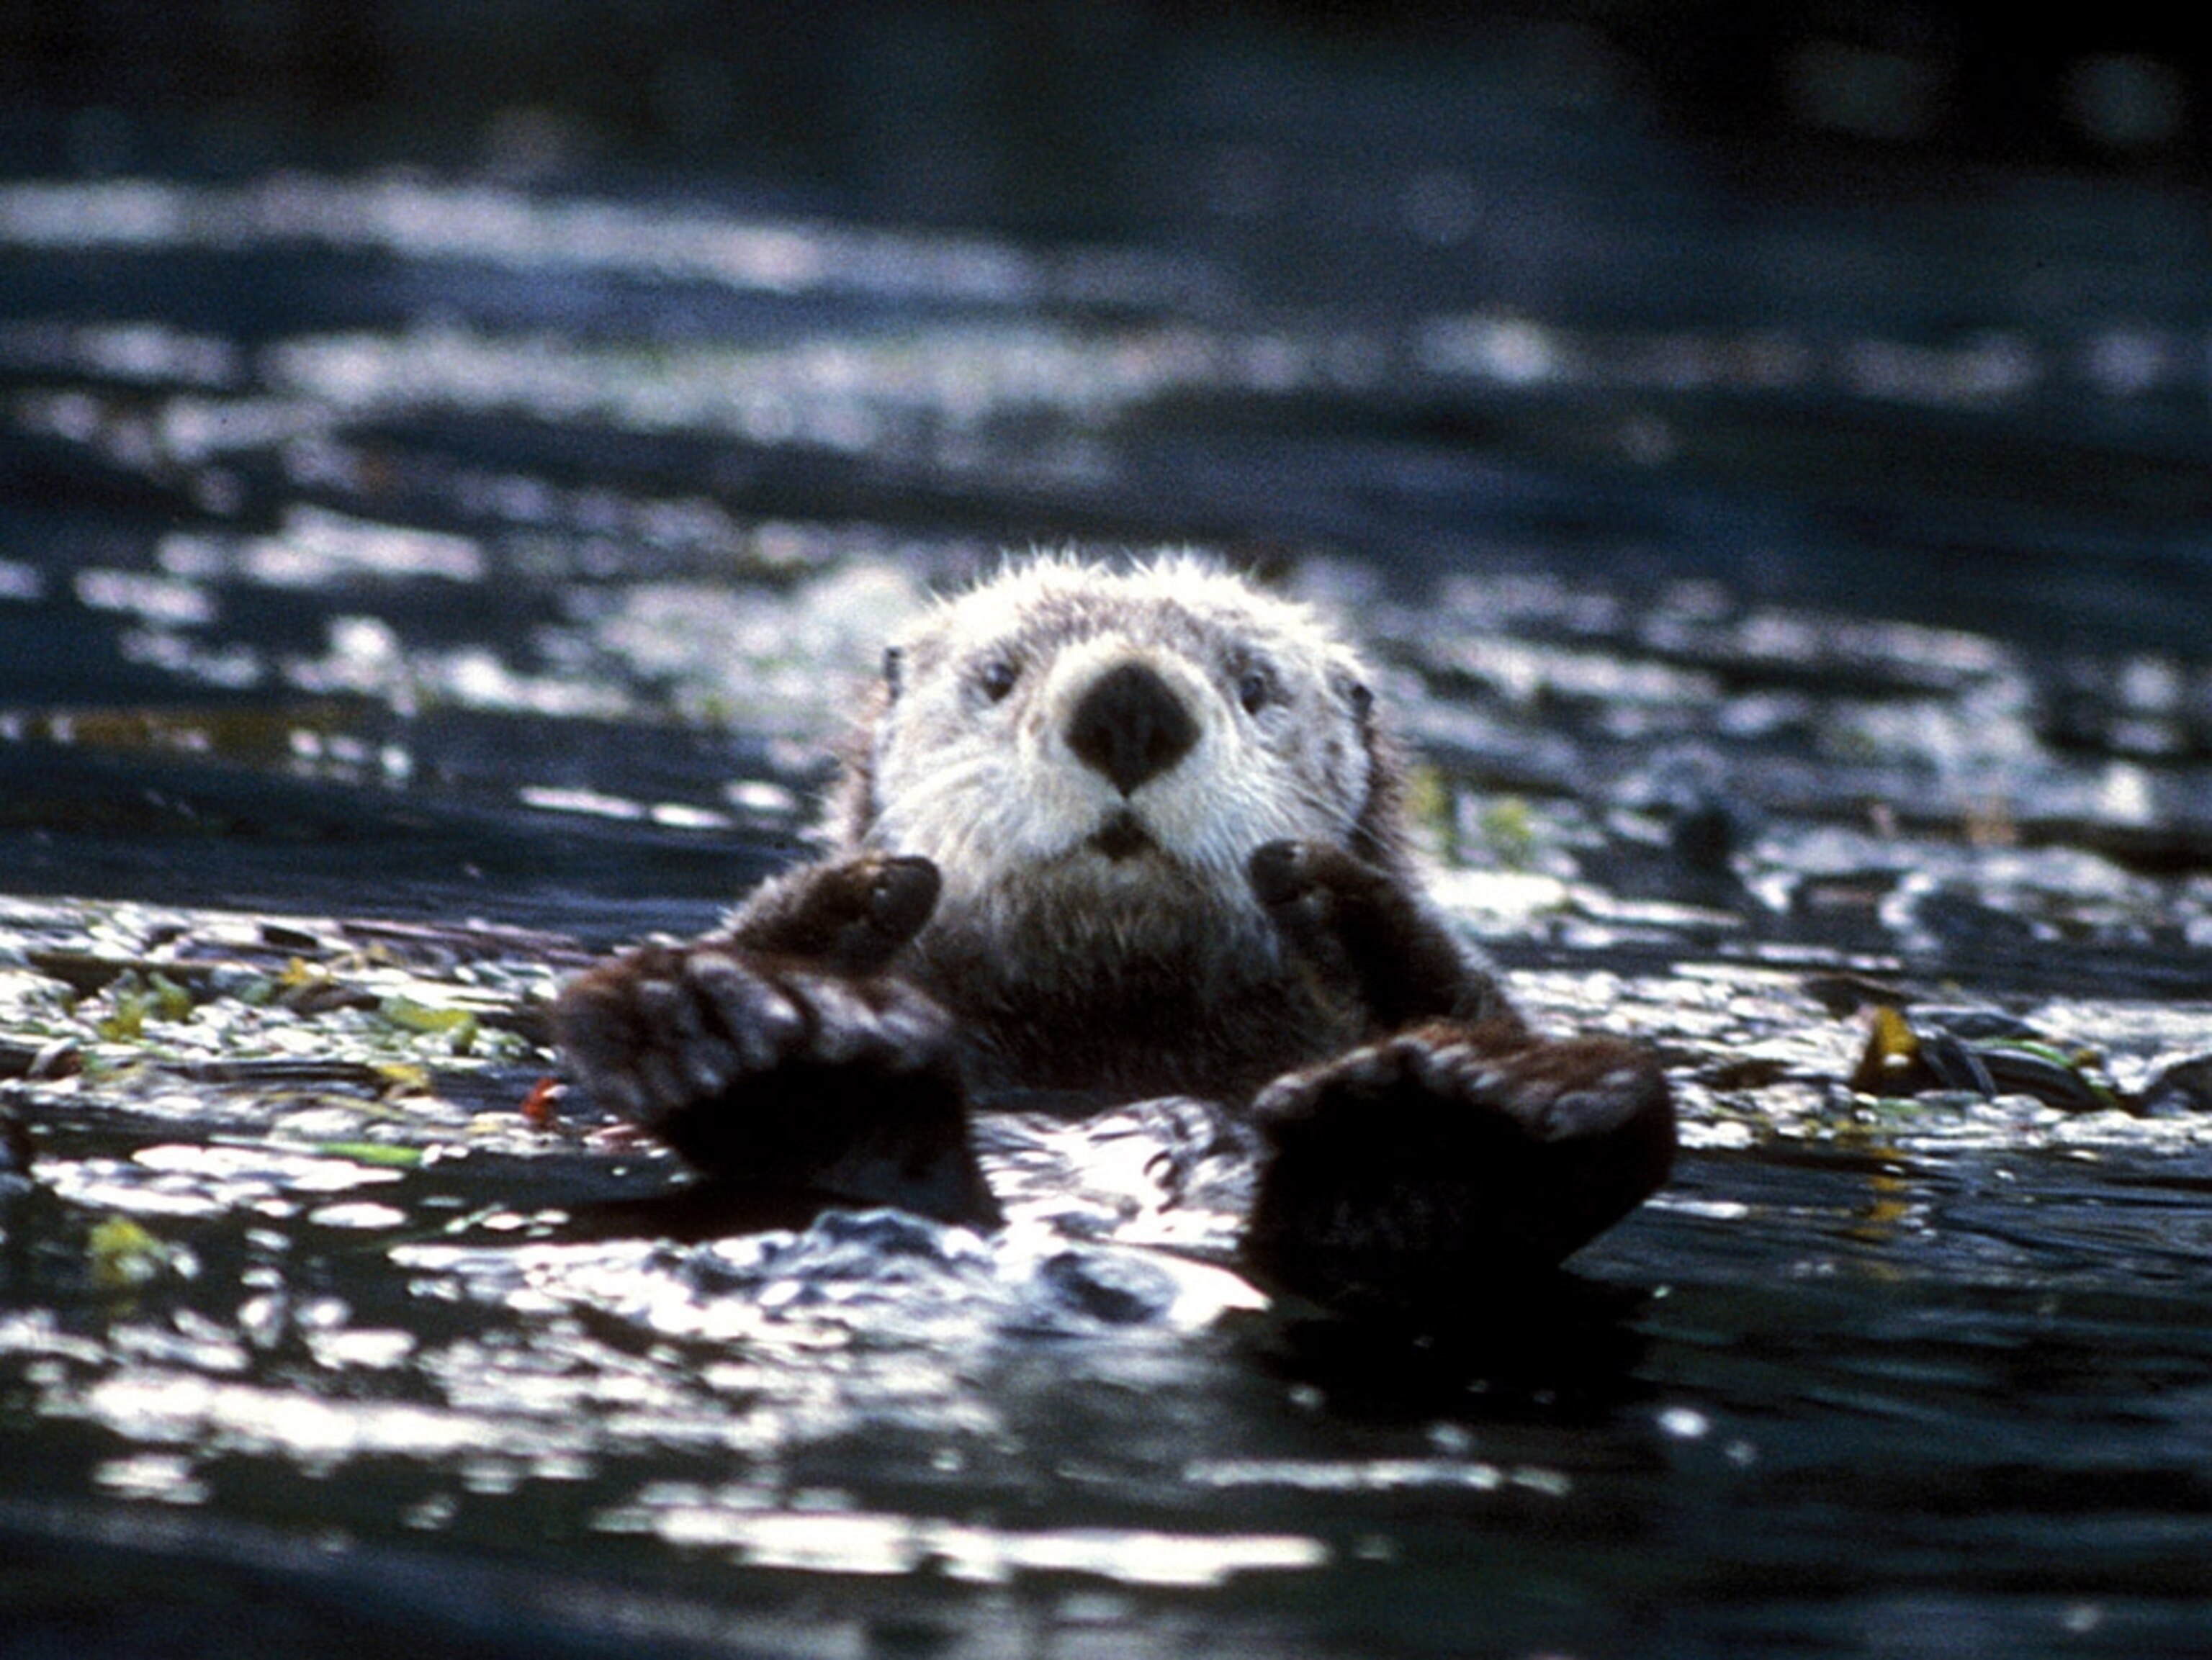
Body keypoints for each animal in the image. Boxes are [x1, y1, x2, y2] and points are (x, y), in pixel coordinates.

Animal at [554, 557, 1674, 1319]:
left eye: (1254, 685)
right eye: (999, 676)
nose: (1131, 701)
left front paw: (1342, 898)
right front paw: (859, 900)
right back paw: (757, 1036)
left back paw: (1447, 1120)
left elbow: (1467, 987)